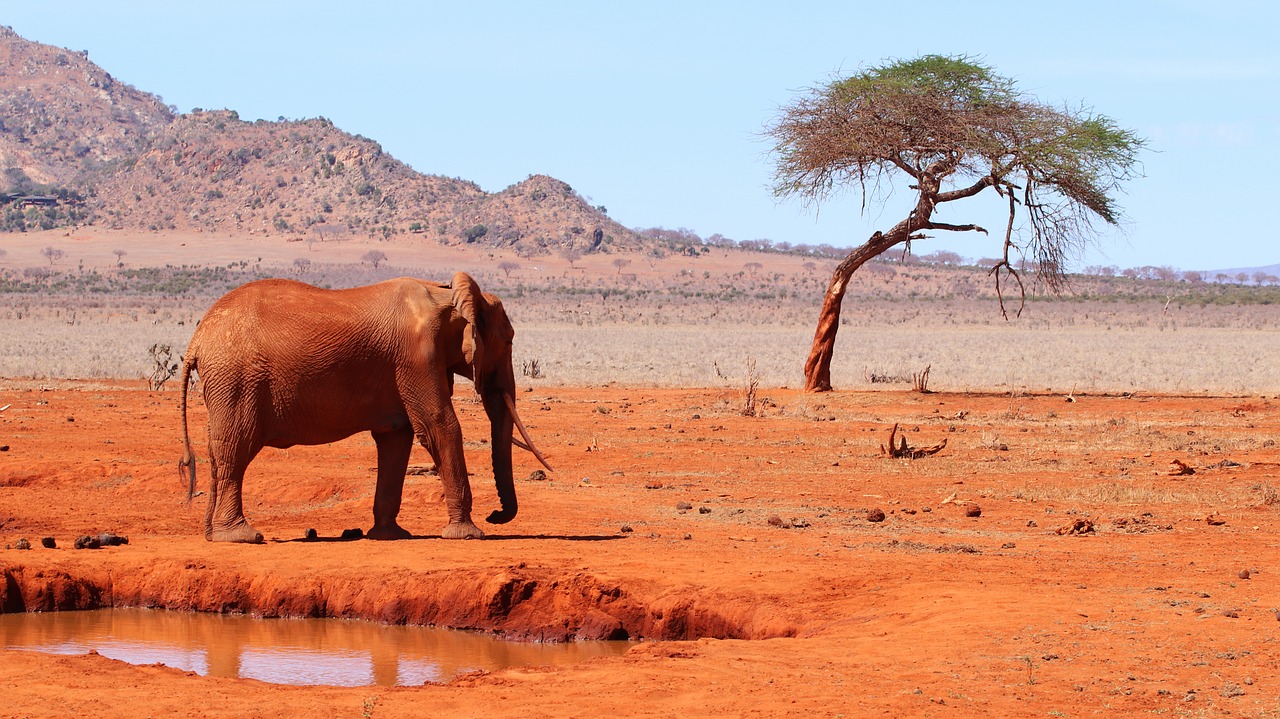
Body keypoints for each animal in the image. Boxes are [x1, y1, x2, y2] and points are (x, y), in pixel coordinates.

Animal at [177, 272, 551, 543]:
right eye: (509, 341)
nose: (495, 515)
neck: (447, 295)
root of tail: (197, 338)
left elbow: (396, 437)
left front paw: (390, 536)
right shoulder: (417, 356)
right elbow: (439, 426)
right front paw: (468, 535)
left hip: (225, 382)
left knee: (218, 452)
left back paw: (213, 535)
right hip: (236, 378)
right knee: (235, 449)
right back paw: (242, 537)